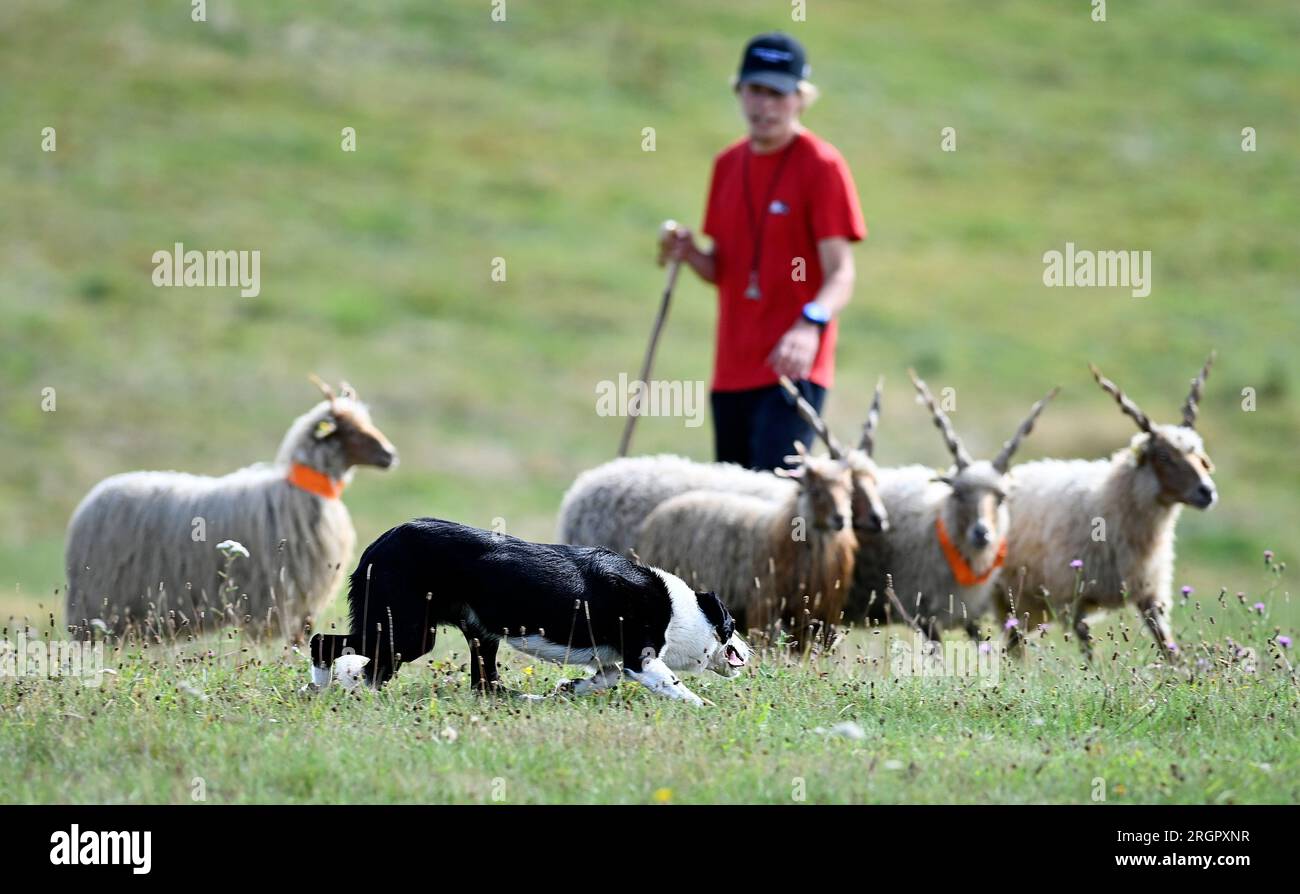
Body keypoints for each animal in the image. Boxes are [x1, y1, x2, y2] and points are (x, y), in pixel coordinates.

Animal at [63, 376, 395, 641]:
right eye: (350, 430)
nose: (390, 454)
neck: (301, 493)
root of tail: (92, 499)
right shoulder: (271, 597)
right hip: (100, 599)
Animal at [993, 353, 1216, 657]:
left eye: (1199, 456)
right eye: (1163, 456)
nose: (1207, 491)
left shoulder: (1149, 593)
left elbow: (1168, 647)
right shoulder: (1072, 598)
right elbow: (1090, 654)